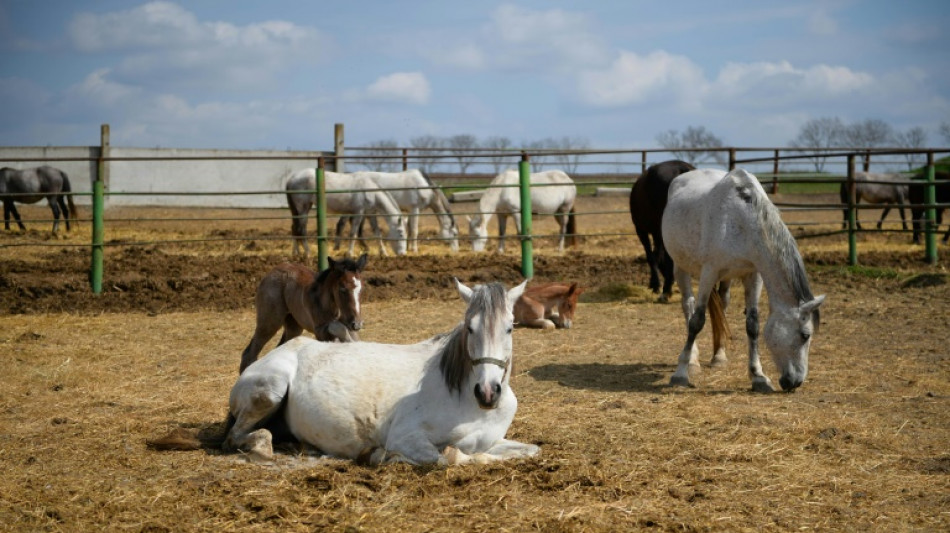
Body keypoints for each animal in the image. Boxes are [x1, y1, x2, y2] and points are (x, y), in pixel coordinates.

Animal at [219, 276, 540, 464]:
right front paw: (379, 456)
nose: (487, 392)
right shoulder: (406, 438)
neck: (467, 402)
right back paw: (262, 446)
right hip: (270, 391)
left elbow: (529, 450)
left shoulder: (492, 441)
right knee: (237, 436)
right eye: (470, 328)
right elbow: (452, 457)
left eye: (510, 328)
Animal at [240, 252, 370, 370]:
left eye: (361, 289)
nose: (357, 324)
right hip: (269, 323)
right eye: (342, 289)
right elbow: (336, 327)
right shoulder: (320, 332)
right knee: (249, 353)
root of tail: (271, 272)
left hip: (293, 326)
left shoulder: (350, 329)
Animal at [660, 168, 824, 392]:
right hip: (681, 267)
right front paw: (681, 373)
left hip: (726, 279)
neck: (743, 219)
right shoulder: (709, 272)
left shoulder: (753, 275)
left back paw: (719, 356)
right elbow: (697, 321)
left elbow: (752, 325)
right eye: (805, 335)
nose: (796, 382)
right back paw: (692, 360)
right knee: (688, 305)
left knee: (722, 307)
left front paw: (758, 377)